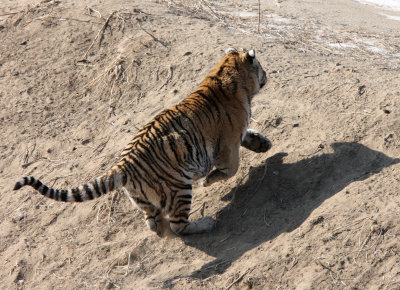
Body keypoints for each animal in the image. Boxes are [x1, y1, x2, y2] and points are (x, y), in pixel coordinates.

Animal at [14, 47, 272, 237]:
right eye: (261, 67)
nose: (268, 75)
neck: (226, 74)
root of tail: (123, 165)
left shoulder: (236, 136)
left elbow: (249, 136)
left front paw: (263, 144)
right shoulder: (228, 145)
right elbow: (230, 169)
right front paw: (209, 180)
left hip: (146, 198)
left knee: (153, 222)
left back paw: (161, 229)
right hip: (179, 187)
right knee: (179, 225)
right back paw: (206, 223)